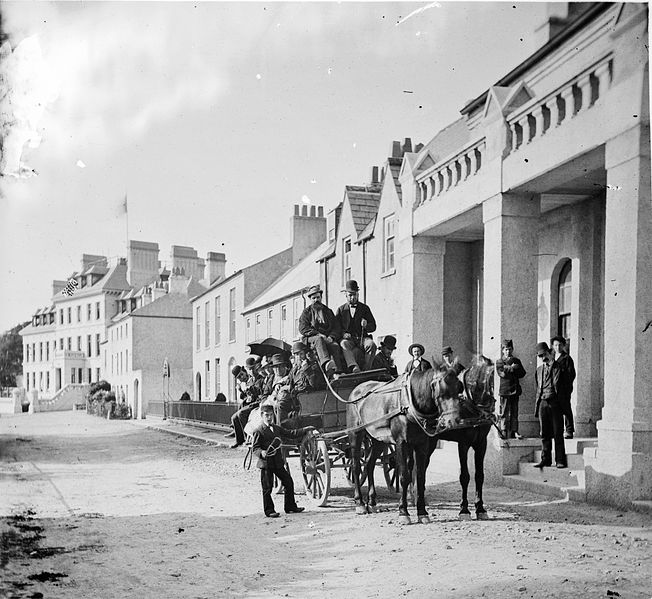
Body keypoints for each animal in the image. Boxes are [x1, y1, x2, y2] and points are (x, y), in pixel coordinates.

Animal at [346, 356, 494, 524]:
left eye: (459, 387)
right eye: (439, 386)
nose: (452, 420)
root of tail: (357, 389)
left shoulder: (478, 443)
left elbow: (422, 476)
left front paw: (422, 511)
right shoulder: (404, 443)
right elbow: (405, 476)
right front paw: (403, 512)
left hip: (378, 439)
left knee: (369, 464)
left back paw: (372, 501)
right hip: (355, 434)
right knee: (356, 465)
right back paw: (360, 503)